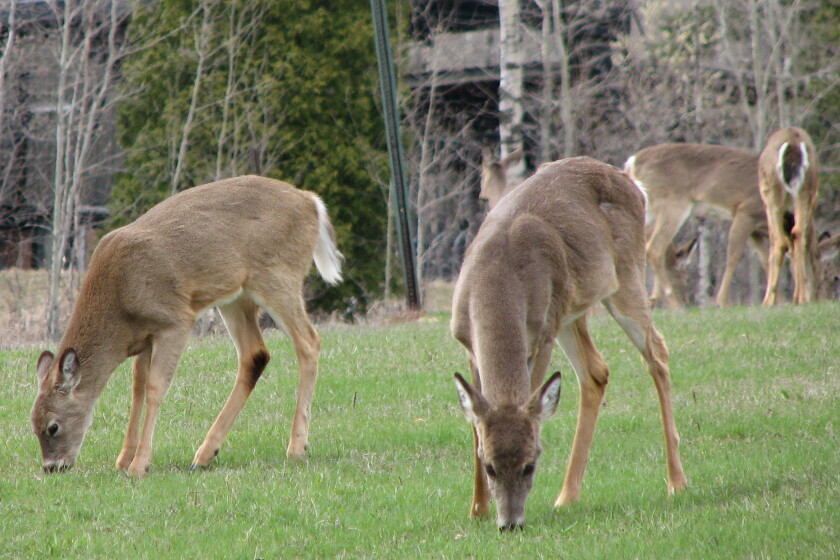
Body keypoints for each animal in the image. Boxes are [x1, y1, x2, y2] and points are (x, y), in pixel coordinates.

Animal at [31, 175, 343, 477]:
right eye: (32, 424)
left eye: (53, 426)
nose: (52, 468)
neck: (120, 306)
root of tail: (311, 202)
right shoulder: (145, 336)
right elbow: (138, 387)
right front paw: (123, 459)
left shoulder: (175, 320)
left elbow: (155, 387)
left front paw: (139, 465)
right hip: (236, 296)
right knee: (255, 355)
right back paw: (205, 454)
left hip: (277, 275)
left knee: (309, 342)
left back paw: (297, 447)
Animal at [451, 156, 687, 531]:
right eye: (489, 465)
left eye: (531, 462)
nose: (511, 523)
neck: (495, 279)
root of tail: (632, 183)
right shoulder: (467, 344)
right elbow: (475, 423)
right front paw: (477, 509)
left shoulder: (542, 336)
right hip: (569, 310)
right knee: (596, 370)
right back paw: (567, 495)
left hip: (625, 276)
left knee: (657, 353)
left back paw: (676, 482)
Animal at [623, 143, 769, 308]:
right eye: (686, 277)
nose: (687, 301)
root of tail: (632, 161)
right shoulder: (745, 211)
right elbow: (735, 255)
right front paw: (721, 302)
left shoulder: (754, 229)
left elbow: (765, 258)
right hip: (673, 205)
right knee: (655, 249)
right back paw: (674, 304)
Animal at [758, 127, 820, 306]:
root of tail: (793, 142)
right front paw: (797, 297)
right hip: (806, 191)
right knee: (798, 234)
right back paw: (803, 298)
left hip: (772, 194)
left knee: (779, 240)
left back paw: (768, 301)